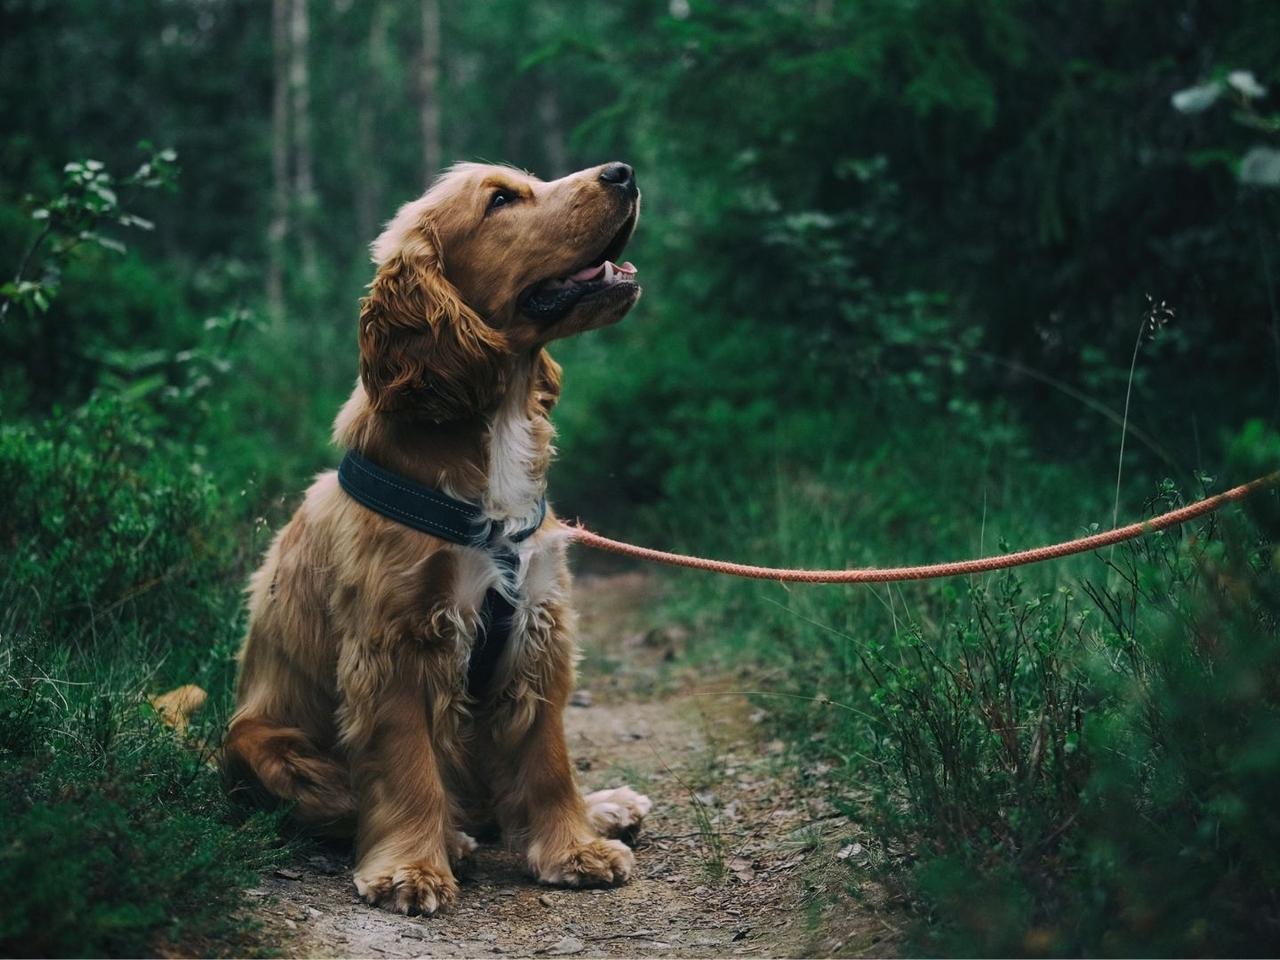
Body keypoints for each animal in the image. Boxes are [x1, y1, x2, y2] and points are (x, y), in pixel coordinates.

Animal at [218, 160, 650, 916]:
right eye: (501, 199)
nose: (623, 171)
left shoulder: (538, 627)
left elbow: (547, 759)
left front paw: (574, 848)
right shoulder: (397, 643)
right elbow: (407, 766)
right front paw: (412, 869)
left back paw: (603, 807)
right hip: (259, 743)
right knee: (354, 800)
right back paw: (451, 838)